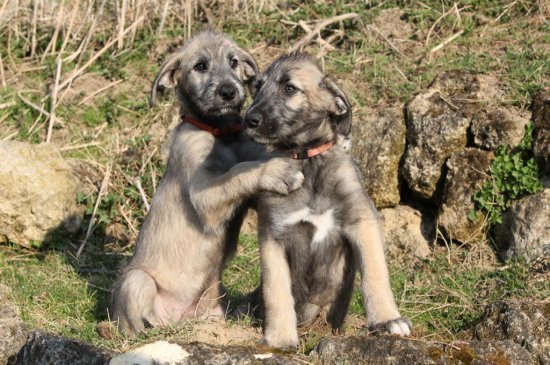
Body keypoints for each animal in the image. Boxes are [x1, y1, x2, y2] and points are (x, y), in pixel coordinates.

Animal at [110, 32, 304, 336]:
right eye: (200, 66)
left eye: (233, 62)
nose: (228, 92)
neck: (222, 132)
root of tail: (181, 317)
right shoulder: (203, 196)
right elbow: (239, 170)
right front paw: (278, 171)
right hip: (136, 281)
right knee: (136, 322)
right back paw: (154, 327)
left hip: (213, 296)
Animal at [244, 52, 412, 348]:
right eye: (257, 87)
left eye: (289, 88)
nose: (248, 119)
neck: (308, 161)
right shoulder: (272, 235)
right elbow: (277, 291)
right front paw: (280, 337)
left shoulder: (362, 221)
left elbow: (375, 274)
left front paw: (387, 320)